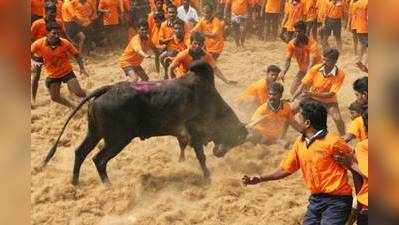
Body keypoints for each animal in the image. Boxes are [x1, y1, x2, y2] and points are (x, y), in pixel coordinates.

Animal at [42, 60, 248, 185]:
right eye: (236, 137)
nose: (220, 153)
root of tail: (107, 90)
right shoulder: (194, 132)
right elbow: (201, 156)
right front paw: (207, 176)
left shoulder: (182, 133)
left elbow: (182, 146)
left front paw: (182, 161)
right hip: (117, 140)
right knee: (99, 159)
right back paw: (108, 185)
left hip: (95, 133)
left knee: (80, 152)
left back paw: (75, 182)